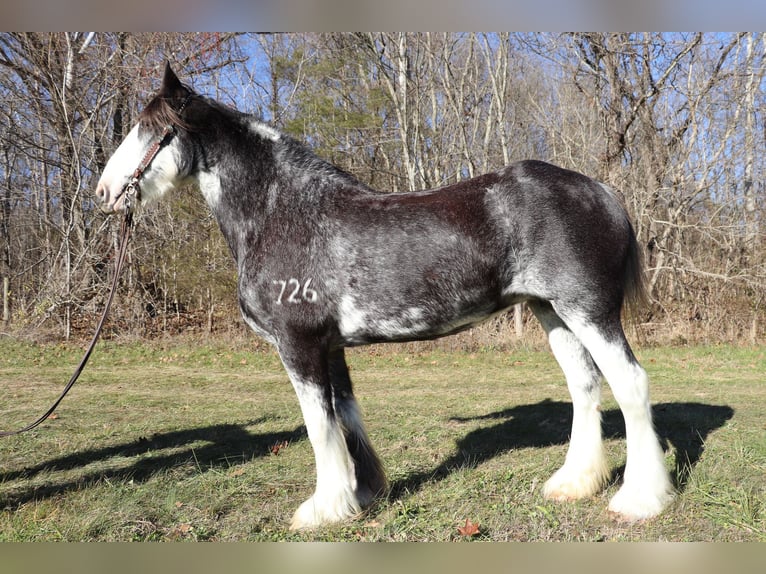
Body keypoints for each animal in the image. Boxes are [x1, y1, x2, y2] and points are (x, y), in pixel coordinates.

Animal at [94, 64, 672, 532]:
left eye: (150, 129)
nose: (103, 193)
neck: (283, 213)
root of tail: (600, 191)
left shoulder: (298, 345)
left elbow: (318, 425)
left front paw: (322, 509)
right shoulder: (330, 347)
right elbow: (345, 417)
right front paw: (363, 494)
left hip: (589, 312)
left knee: (630, 384)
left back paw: (640, 500)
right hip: (552, 313)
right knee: (584, 386)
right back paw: (574, 483)